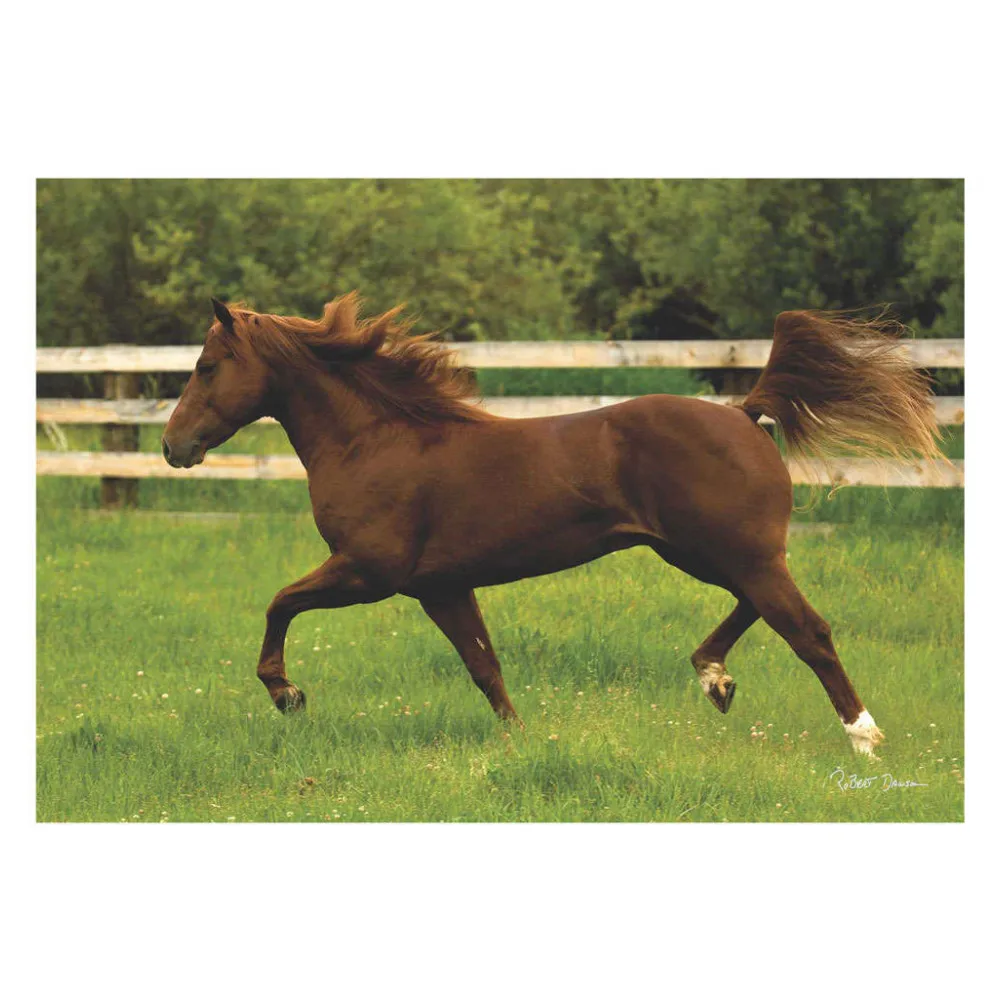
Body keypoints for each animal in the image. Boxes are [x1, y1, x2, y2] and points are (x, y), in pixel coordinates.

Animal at [162, 293, 941, 755]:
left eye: (205, 366)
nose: (174, 447)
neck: (373, 440)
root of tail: (744, 412)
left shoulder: (368, 572)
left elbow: (279, 604)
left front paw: (287, 694)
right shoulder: (442, 586)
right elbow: (484, 667)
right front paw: (521, 742)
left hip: (733, 552)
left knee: (808, 629)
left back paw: (864, 739)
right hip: (708, 552)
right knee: (761, 609)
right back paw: (713, 679)